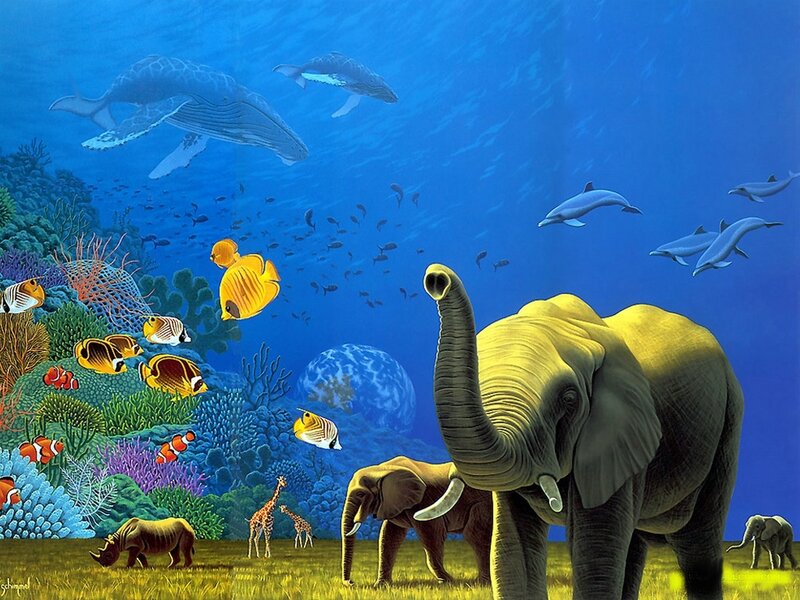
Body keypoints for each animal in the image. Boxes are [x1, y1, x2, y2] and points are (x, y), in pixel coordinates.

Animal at [341, 456, 492, 587]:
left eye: (361, 494)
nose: (351, 582)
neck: (381, 469)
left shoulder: (424, 501)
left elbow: (432, 536)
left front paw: (448, 581)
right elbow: (389, 537)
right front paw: (381, 585)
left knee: (476, 535)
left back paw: (482, 583)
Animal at [414, 264, 743, 600]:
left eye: (569, 399)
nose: (436, 278)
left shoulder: (616, 432)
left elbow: (594, 551)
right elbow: (511, 549)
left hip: (728, 424)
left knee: (696, 544)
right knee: (634, 542)